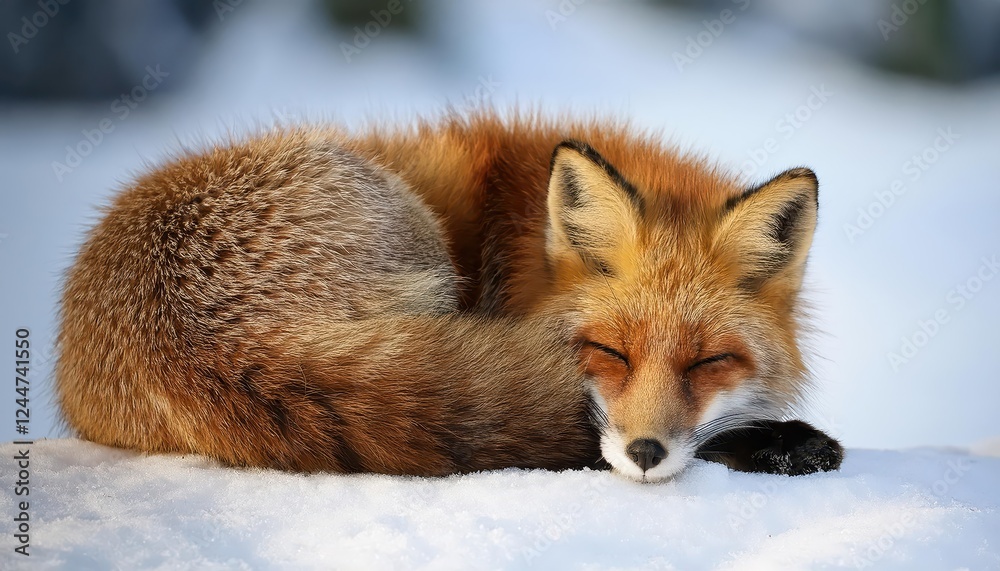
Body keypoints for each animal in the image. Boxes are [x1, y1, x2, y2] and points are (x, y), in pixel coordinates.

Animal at [55, 111, 843, 482]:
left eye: (709, 361)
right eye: (609, 351)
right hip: (410, 231)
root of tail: (203, 341)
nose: (645, 451)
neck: (519, 235)